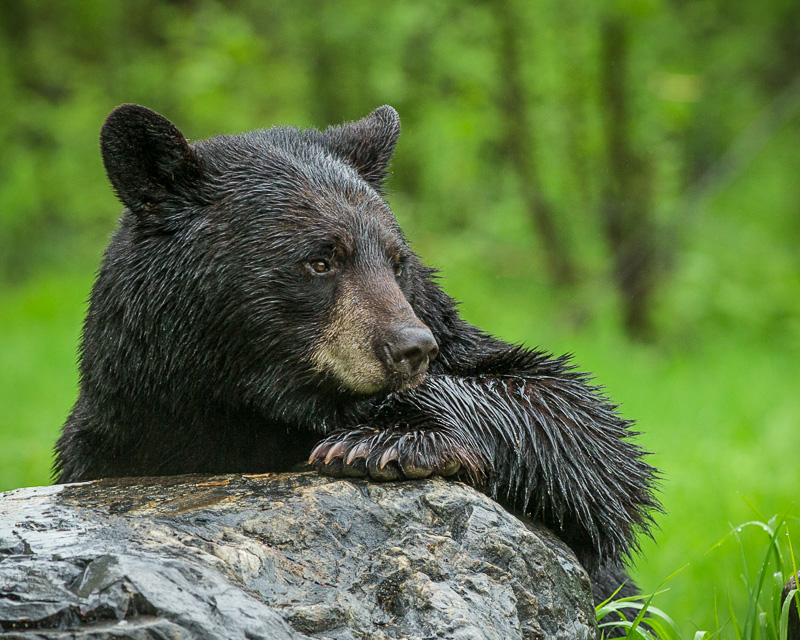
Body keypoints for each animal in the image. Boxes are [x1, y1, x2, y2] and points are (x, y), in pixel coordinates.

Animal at [54, 104, 660, 612]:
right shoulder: (118, 436)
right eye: (321, 260)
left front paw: (386, 441)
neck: (244, 406)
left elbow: (583, 432)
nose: (412, 347)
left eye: (396, 259)